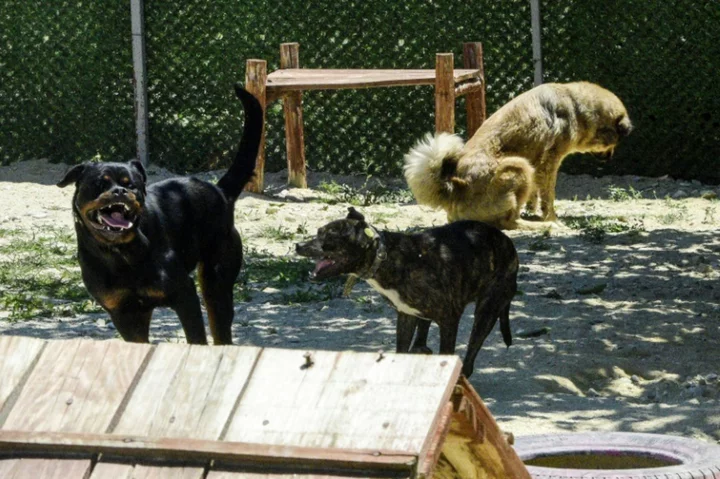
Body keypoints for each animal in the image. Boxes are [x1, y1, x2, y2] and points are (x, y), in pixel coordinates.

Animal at [57, 83, 262, 344]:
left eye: (132, 184)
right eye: (100, 184)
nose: (120, 191)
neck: (121, 254)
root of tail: (219, 191)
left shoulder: (184, 296)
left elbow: (196, 338)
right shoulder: (124, 313)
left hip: (216, 281)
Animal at [296, 208, 520, 380]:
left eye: (329, 237)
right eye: (318, 231)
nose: (298, 246)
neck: (385, 257)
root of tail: (507, 243)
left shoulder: (449, 319)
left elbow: (447, 352)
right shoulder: (405, 316)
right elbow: (402, 348)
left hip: (486, 312)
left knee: (472, 351)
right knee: (423, 332)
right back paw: (421, 350)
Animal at [402, 81, 632, 230]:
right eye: (613, 143)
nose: (610, 158)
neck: (576, 106)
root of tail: (455, 188)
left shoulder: (537, 163)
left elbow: (535, 193)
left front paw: (533, 208)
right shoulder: (549, 162)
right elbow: (548, 196)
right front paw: (552, 218)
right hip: (518, 165)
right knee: (509, 223)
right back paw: (542, 227)